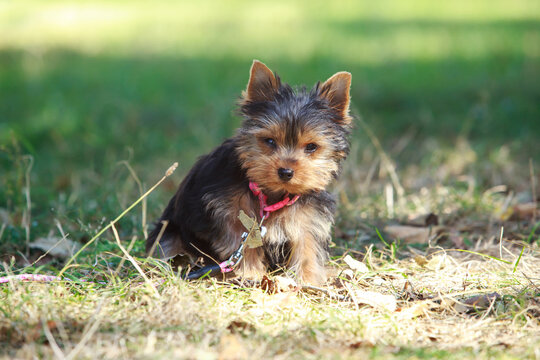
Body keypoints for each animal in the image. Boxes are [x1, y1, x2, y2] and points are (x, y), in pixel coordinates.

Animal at [146, 59, 352, 284]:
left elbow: (307, 244)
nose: (286, 172)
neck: (271, 195)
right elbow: (243, 240)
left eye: (312, 147)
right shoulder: (232, 212)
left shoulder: (309, 216)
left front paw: (308, 278)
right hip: (170, 234)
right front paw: (251, 273)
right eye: (269, 141)